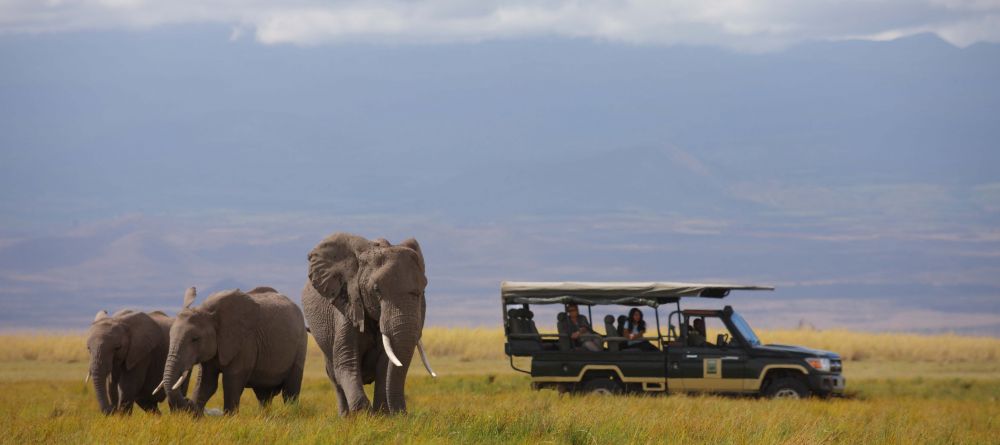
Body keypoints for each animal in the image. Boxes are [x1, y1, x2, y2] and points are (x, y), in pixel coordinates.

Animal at [160, 286, 306, 414]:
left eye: (195, 339)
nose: (187, 400)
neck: (209, 312)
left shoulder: (245, 342)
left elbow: (231, 382)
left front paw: (229, 418)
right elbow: (206, 383)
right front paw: (195, 417)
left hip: (300, 344)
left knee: (290, 391)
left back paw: (290, 413)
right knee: (264, 396)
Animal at [300, 231, 434, 414]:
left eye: (423, 290)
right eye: (376, 290)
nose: (403, 413)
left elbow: (385, 365)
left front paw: (383, 415)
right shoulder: (347, 303)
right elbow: (347, 362)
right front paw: (364, 415)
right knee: (334, 376)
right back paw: (345, 416)